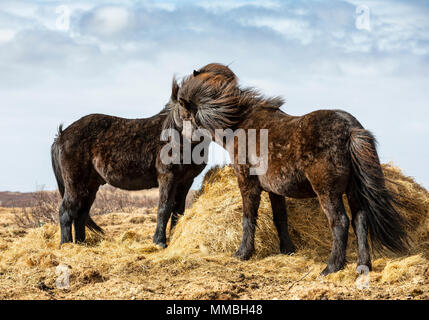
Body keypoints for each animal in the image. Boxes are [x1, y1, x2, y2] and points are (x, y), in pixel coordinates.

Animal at [51, 63, 236, 246]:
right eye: (210, 91)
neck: (178, 132)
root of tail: (62, 135)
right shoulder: (167, 177)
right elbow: (164, 208)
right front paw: (160, 242)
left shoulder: (185, 181)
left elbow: (178, 211)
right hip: (76, 184)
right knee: (66, 212)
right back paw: (66, 245)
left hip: (90, 185)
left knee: (80, 214)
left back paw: (80, 244)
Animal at [171, 64, 408, 276]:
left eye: (183, 112)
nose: (183, 140)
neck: (240, 123)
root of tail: (351, 129)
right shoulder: (275, 190)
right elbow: (280, 218)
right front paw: (287, 250)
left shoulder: (247, 182)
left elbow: (248, 218)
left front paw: (243, 253)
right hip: (353, 192)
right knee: (360, 221)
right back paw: (363, 266)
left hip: (328, 193)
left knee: (340, 222)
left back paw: (331, 268)